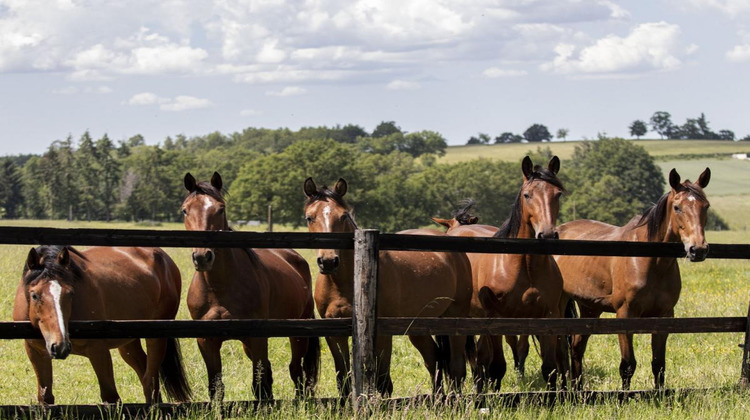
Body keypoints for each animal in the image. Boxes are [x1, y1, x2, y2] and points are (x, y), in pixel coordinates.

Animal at [12, 244, 191, 406]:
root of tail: (164, 258)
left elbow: (111, 397)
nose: (60, 346)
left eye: (70, 293)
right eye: (34, 295)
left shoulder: (98, 351)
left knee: (150, 379)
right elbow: (45, 398)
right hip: (129, 343)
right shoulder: (36, 352)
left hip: (157, 336)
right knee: (144, 372)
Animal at [184, 172, 322, 402]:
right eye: (185, 210)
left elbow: (259, 384)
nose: (203, 256)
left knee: (295, 370)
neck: (219, 287)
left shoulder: (257, 337)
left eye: (220, 209)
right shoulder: (206, 341)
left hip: (297, 334)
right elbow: (216, 387)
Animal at [304, 177, 470, 398]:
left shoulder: (382, 333)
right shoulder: (334, 333)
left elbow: (383, 381)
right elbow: (343, 380)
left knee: (456, 367)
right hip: (418, 326)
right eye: (309, 218)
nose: (329, 261)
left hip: (455, 319)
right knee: (433, 359)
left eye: (344, 215)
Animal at [432, 156, 568, 392]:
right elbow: (496, 367)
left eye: (557, 194)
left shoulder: (549, 317)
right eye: (527, 195)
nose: (548, 234)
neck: (525, 266)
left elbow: (549, 368)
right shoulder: (495, 319)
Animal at [560, 167, 712, 390]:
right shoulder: (625, 315)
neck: (650, 261)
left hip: (590, 308)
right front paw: (624, 396)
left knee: (577, 347)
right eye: (677, 207)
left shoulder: (664, 317)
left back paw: (578, 390)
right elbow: (627, 365)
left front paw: (660, 395)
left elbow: (659, 364)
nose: (698, 249)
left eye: (706, 206)